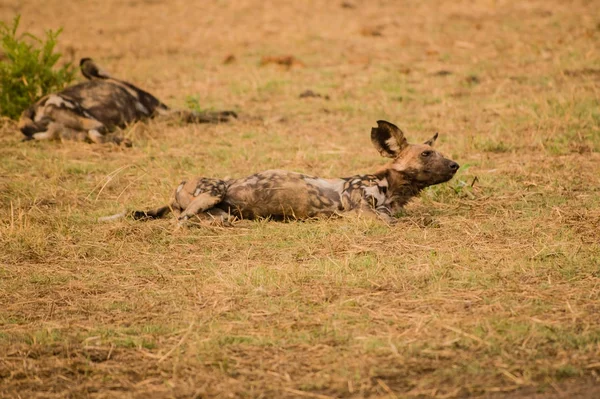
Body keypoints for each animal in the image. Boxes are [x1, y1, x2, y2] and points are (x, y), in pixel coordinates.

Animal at [18, 57, 237, 145]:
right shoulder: (161, 111)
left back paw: (121, 140)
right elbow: (195, 113)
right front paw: (230, 115)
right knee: (96, 131)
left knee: (93, 137)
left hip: (66, 132)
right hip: (84, 116)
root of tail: (32, 109)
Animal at [111, 120, 460, 225]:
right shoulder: (363, 213)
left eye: (439, 152)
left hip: (221, 211)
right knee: (181, 221)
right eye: (427, 154)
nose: (456, 165)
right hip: (211, 192)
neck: (390, 187)